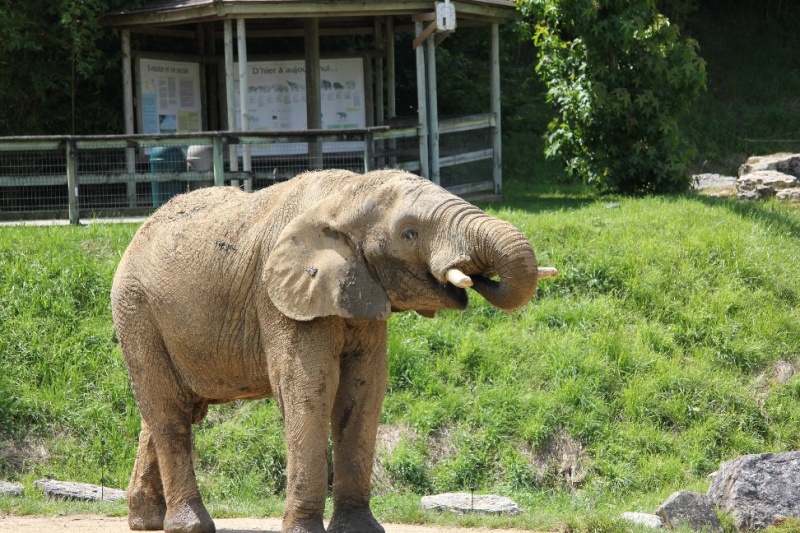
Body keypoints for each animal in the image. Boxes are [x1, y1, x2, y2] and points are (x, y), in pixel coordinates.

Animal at [112, 167, 548, 532]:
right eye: (409, 233)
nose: (477, 277)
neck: (348, 194)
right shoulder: (279, 301)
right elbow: (310, 388)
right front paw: (304, 531)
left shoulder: (364, 291)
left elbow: (365, 390)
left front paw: (360, 531)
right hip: (136, 310)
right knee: (169, 412)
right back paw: (189, 527)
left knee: (170, 411)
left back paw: (145, 522)